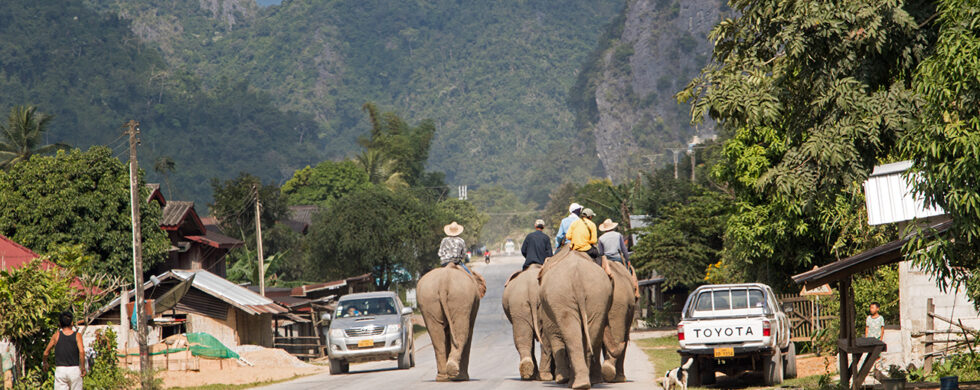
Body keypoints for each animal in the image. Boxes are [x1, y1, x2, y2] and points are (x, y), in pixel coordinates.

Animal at [536, 248, 612, 388]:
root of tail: (577, 278)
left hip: (563, 296)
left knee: (570, 333)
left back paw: (576, 383)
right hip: (596, 295)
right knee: (589, 332)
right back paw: (583, 383)